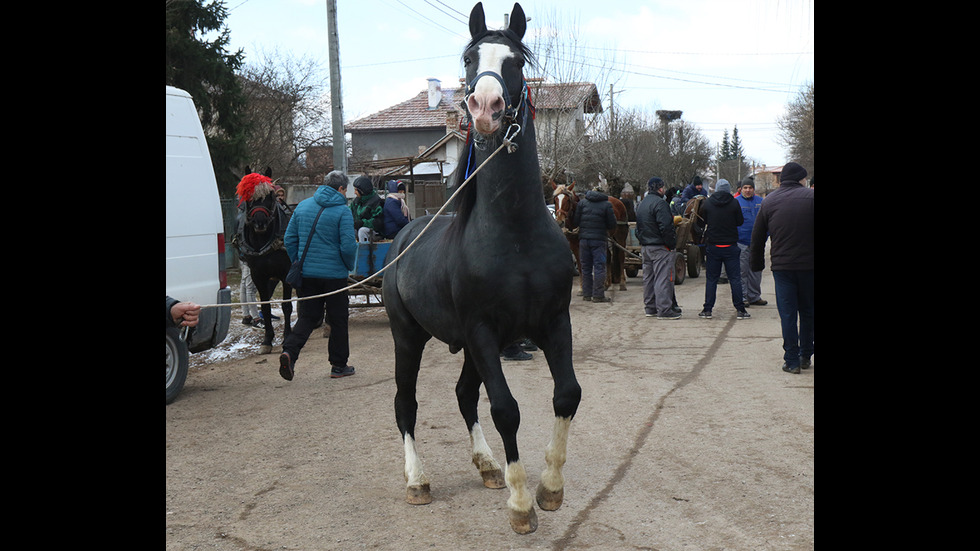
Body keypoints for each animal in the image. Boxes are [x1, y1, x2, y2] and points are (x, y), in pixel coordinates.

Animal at [234, 168, 292, 356]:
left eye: (270, 196)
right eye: (248, 198)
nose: (260, 223)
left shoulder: (287, 274)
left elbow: (287, 306)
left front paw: (287, 336)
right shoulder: (258, 276)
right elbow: (265, 307)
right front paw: (267, 340)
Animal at [382, 1, 580, 536]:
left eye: (516, 61)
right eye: (470, 59)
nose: (486, 107)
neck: (515, 236)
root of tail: (402, 240)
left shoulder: (552, 322)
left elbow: (566, 395)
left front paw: (550, 488)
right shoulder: (485, 331)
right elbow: (506, 409)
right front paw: (521, 504)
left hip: (467, 346)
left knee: (463, 394)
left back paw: (488, 465)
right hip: (409, 337)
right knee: (406, 404)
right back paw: (417, 481)